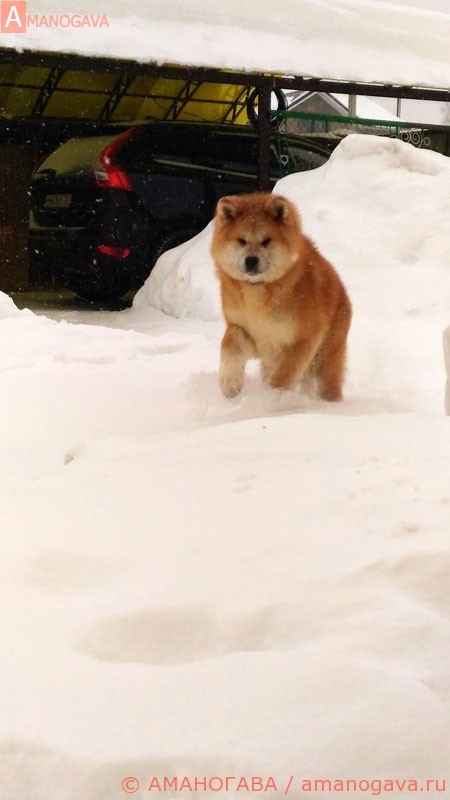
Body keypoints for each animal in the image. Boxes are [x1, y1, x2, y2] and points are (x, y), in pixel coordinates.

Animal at [211, 192, 352, 401]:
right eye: (241, 240)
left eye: (266, 240)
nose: (251, 260)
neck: (258, 290)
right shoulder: (246, 330)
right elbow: (229, 342)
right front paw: (230, 381)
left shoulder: (303, 339)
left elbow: (284, 375)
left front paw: (271, 399)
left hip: (325, 358)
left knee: (327, 383)